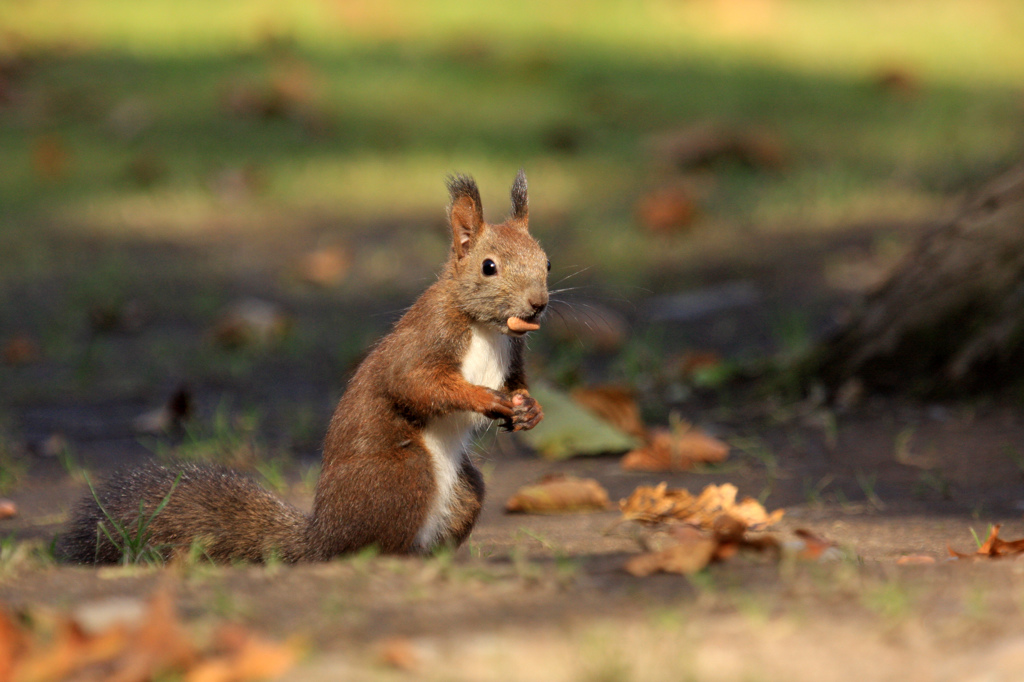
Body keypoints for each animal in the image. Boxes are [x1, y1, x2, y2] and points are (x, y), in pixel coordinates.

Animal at [56, 171, 548, 561]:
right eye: (488, 267)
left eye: (545, 261)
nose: (538, 304)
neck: (485, 328)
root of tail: (321, 539)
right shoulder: (427, 338)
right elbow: (415, 383)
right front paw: (484, 399)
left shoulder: (512, 355)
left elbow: (516, 382)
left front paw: (530, 408)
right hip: (402, 476)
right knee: (370, 545)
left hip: (464, 491)